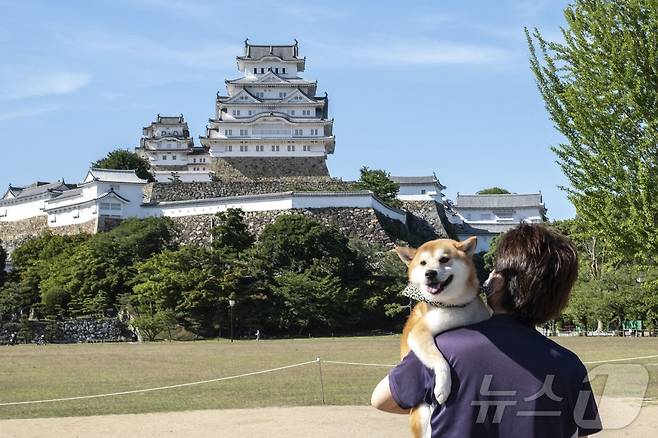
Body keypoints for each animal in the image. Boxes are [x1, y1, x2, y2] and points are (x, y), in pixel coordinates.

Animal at [392, 238, 490, 436]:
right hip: (421, 413)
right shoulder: (419, 332)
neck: (455, 307)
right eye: (423, 263)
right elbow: (439, 360)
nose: (430, 273)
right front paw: (443, 388)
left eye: (444, 259)